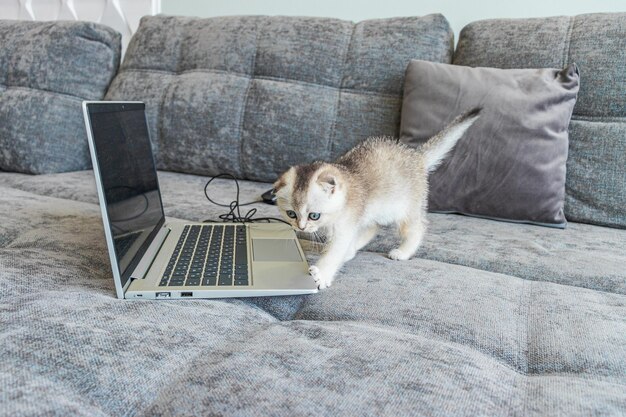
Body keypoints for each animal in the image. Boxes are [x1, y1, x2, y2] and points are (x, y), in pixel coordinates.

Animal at [270, 109, 480, 288]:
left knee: (417, 228)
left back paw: (403, 252)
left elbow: (334, 252)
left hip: (406, 208)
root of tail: (415, 155)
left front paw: (321, 274)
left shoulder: (345, 226)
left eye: (314, 215)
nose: (301, 227)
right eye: (291, 214)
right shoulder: (353, 221)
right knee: (373, 227)